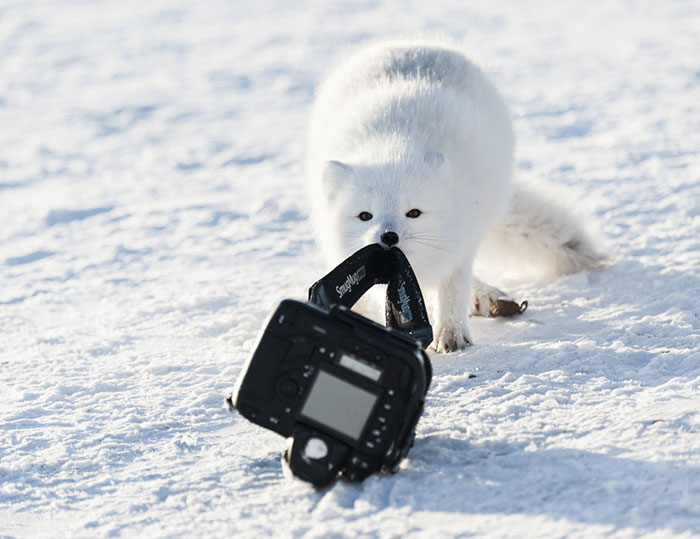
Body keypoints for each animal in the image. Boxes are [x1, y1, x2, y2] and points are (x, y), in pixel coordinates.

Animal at [306, 39, 608, 352]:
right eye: (365, 216)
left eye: (414, 213)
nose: (388, 237)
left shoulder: (463, 238)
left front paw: (451, 333)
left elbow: (453, 288)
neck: (394, 141)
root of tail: (411, 42)